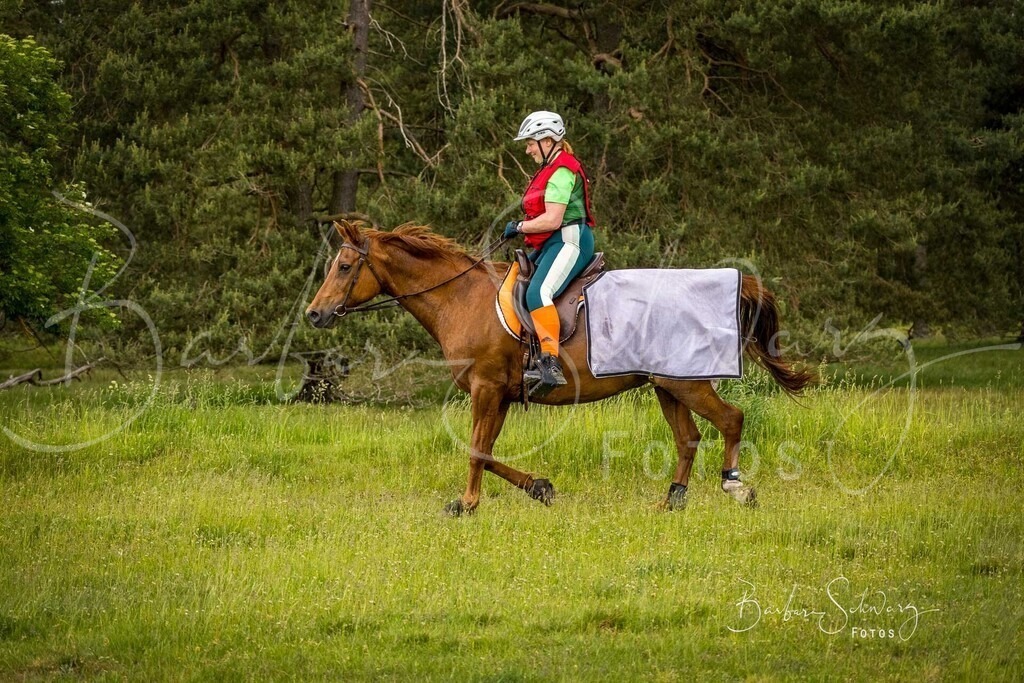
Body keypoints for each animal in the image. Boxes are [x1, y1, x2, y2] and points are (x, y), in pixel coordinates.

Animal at [305, 221, 814, 515]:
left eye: (345, 266)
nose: (314, 314)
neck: (461, 298)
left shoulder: (486, 389)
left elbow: (476, 451)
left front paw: (466, 504)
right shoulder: (501, 395)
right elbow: (488, 452)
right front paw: (540, 488)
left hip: (685, 383)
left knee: (731, 419)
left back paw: (736, 488)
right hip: (666, 386)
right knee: (688, 438)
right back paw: (671, 501)